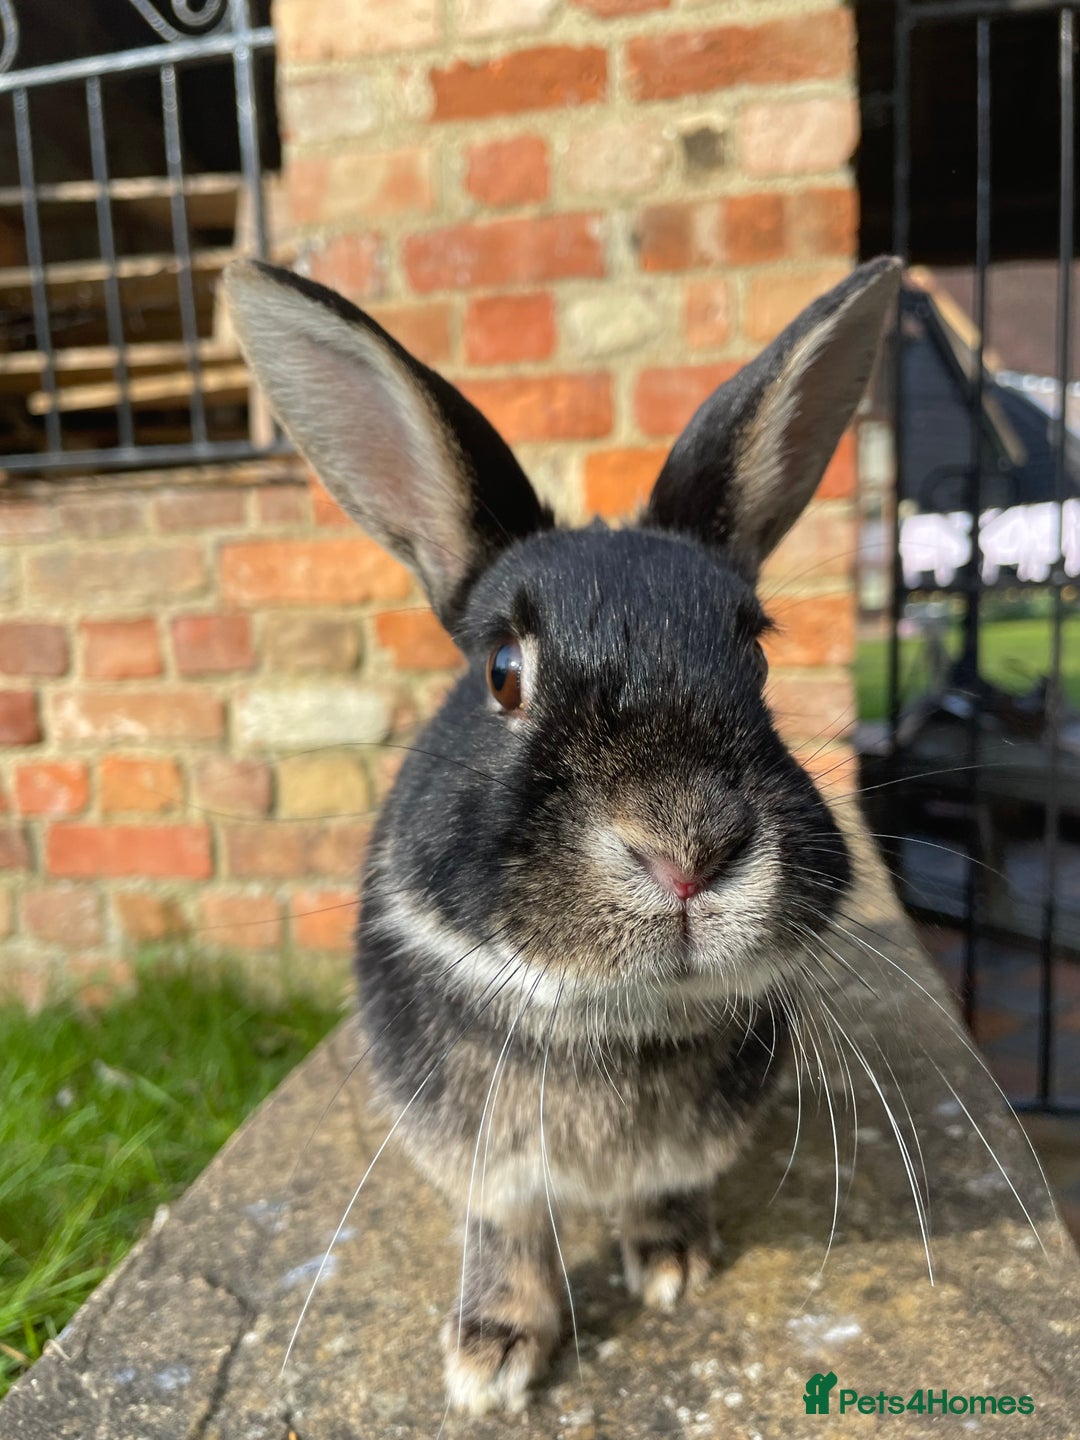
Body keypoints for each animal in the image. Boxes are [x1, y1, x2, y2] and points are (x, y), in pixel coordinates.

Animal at [224, 253, 901, 1416]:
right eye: (503, 671)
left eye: (757, 653)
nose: (687, 848)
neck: (614, 1016)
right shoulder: (482, 1156)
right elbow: (510, 1232)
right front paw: (492, 1357)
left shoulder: (683, 1147)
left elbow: (664, 1191)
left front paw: (672, 1264)